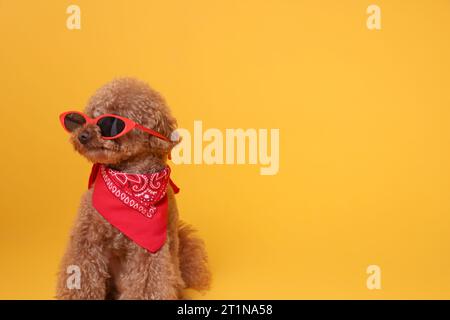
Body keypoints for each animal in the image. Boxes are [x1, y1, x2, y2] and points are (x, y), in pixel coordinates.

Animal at [56, 78, 211, 300]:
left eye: (110, 123)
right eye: (87, 118)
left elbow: (147, 285)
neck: (128, 180)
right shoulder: (87, 237)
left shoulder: (148, 249)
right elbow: (82, 271)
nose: (82, 135)